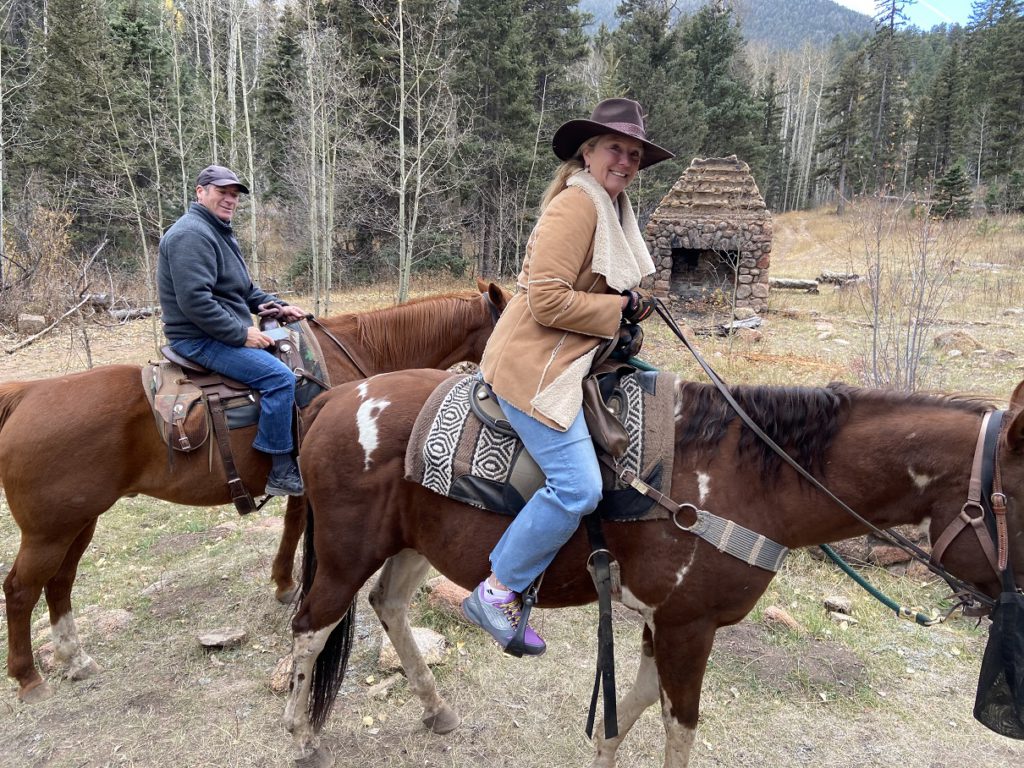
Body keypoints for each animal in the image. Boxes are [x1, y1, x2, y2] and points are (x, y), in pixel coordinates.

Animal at [0, 280, 512, 704]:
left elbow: (290, 526)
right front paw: (289, 585)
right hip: (48, 531)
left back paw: (75, 659)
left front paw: (283, 583)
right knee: (21, 589)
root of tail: (25, 395)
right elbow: (297, 528)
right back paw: (29, 678)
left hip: (79, 522)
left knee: (60, 582)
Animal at [282, 370, 1024, 765]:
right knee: (310, 630)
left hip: (413, 547)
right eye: (1023, 498)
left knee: (389, 606)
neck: (745, 485)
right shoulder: (688, 628)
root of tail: (334, 398)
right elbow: (678, 723)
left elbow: (629, 709)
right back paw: (300, 735)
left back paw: (436, 710)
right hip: (346, 555)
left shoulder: (656, 622)